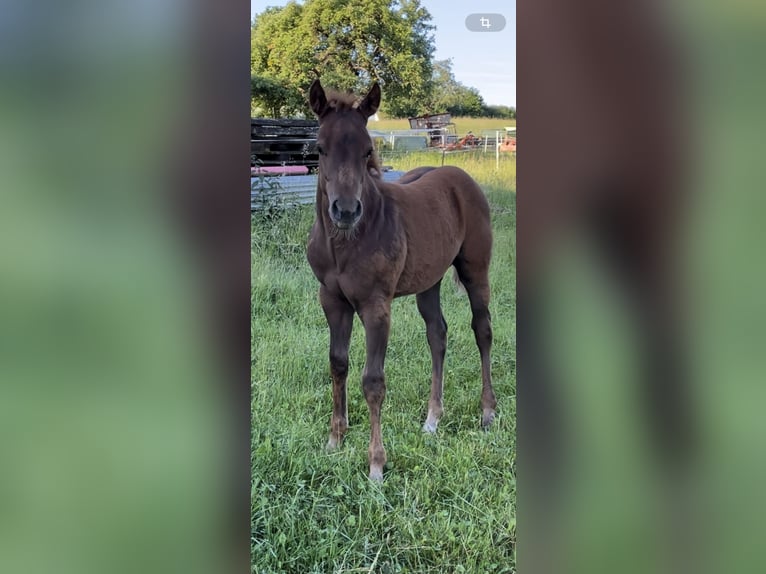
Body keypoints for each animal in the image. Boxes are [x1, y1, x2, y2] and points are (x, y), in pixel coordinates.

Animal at [306, 79, 496, 480]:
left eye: (367, 150)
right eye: (320, 148)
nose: (346, 211)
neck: (347, 242)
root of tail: (461, 177)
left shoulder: (376, 306)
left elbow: (373, 381)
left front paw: (376, 464)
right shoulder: (331, 301)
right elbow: (337, 364)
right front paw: (335, 440)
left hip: (476, 270)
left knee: (482, 330)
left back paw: (488, 411)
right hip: (429, 281)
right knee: (437, 334)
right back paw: (432, 419)